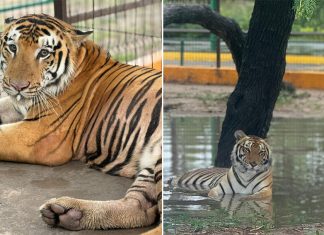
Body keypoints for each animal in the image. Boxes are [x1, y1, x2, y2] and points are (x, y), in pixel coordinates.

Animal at [0, 13, 162, 231]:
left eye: (44, 53)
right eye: (13, 47)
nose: (18, 86)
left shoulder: (39, 135)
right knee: (139, 207)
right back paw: (67, 212)